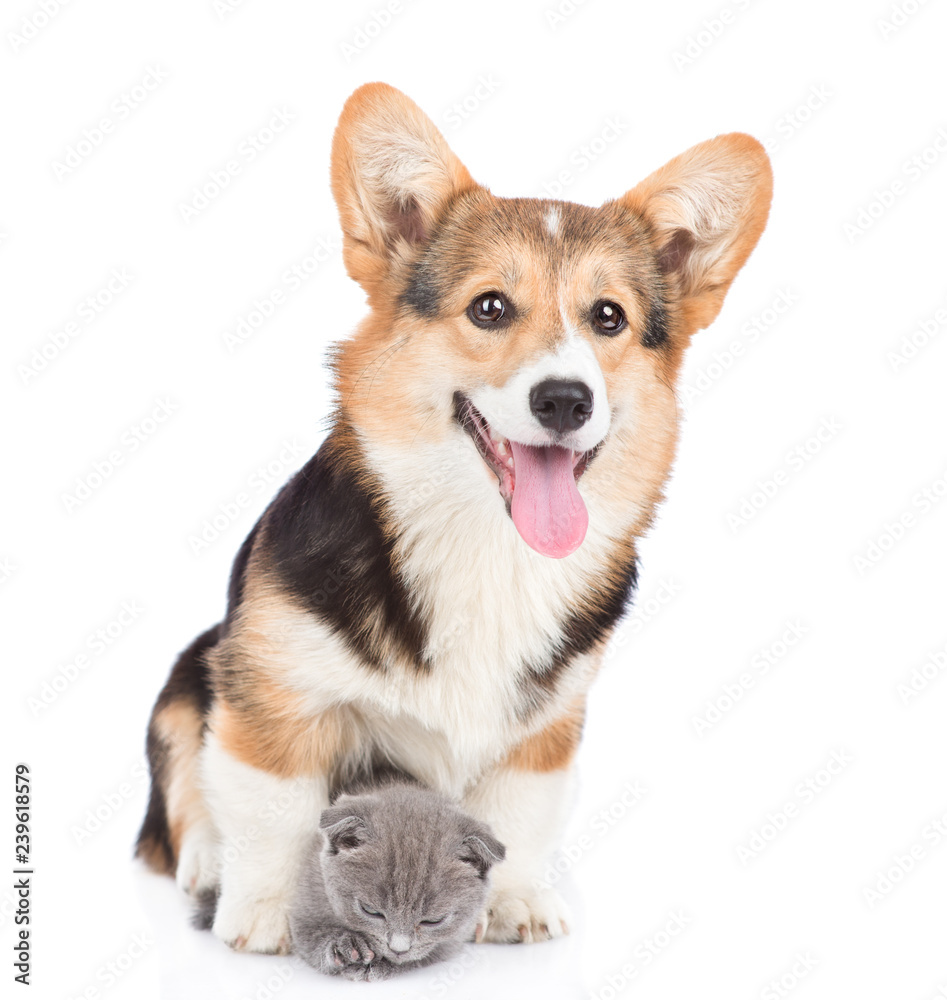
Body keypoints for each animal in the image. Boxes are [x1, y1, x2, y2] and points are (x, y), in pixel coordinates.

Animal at [137, 82, 772, 948]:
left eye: (607, 318)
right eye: (490, 308)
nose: (565, 399)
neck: (486, 545)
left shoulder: (546, 727)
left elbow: (520, 815)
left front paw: (513, 902)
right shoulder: (275, 691)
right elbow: (271, 807)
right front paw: (266, 911)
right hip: (189, 673)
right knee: (183, 796)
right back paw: (207, 862)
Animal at [288, 780, 508, 984]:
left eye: (433, 921)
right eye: (370, 910)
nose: (398, 948)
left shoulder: (453, 939)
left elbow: (422, 956)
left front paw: (379, 965)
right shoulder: (307, 897)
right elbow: (310, 936)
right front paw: (344, 944)